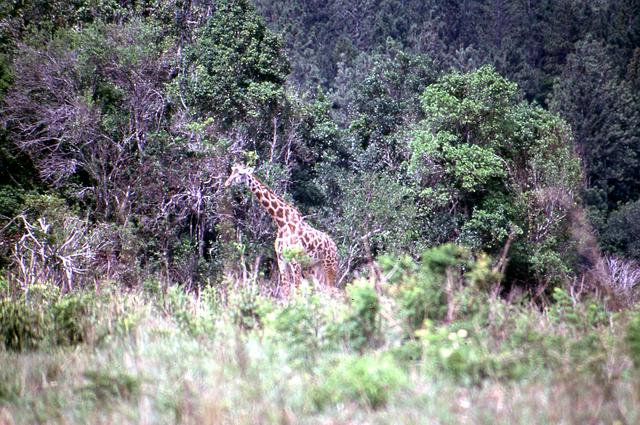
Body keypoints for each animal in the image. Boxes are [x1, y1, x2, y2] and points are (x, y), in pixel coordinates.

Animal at [224, 164, 338, 296]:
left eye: (241, 173)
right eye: (232, 171)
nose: (227, 183)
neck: (282, 222)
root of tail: (335, 247)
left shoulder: (295, 261)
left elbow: (297, 289)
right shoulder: (281, 260)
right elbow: (286, 290)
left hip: (330, 266)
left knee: (333, 290)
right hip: (314, 267)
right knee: (322, 290)